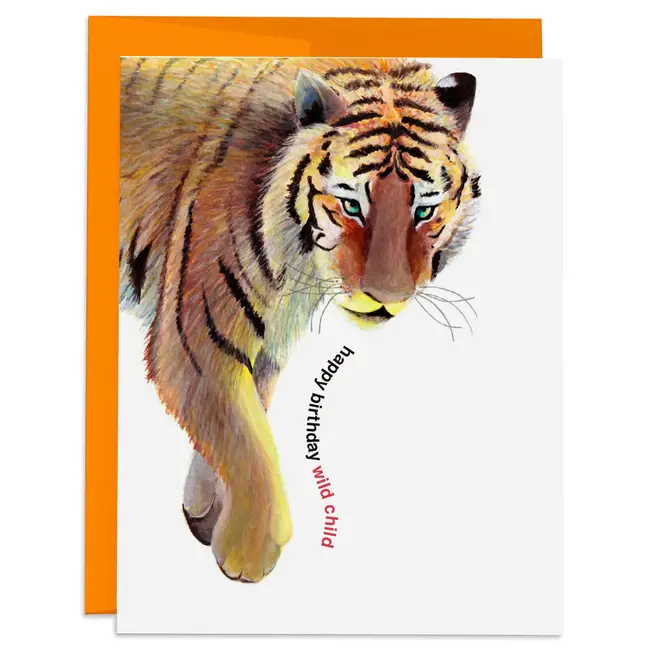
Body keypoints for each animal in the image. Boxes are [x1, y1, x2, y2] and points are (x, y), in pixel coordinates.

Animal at [120, 57, 481, 583]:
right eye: (351, 205)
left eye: (425, 210)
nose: (385, 298)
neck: (303, 265)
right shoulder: (196, 339)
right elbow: (249, 445)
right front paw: (247, 555)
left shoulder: (265, 343)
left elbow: (239, 425)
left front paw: (204, 512)